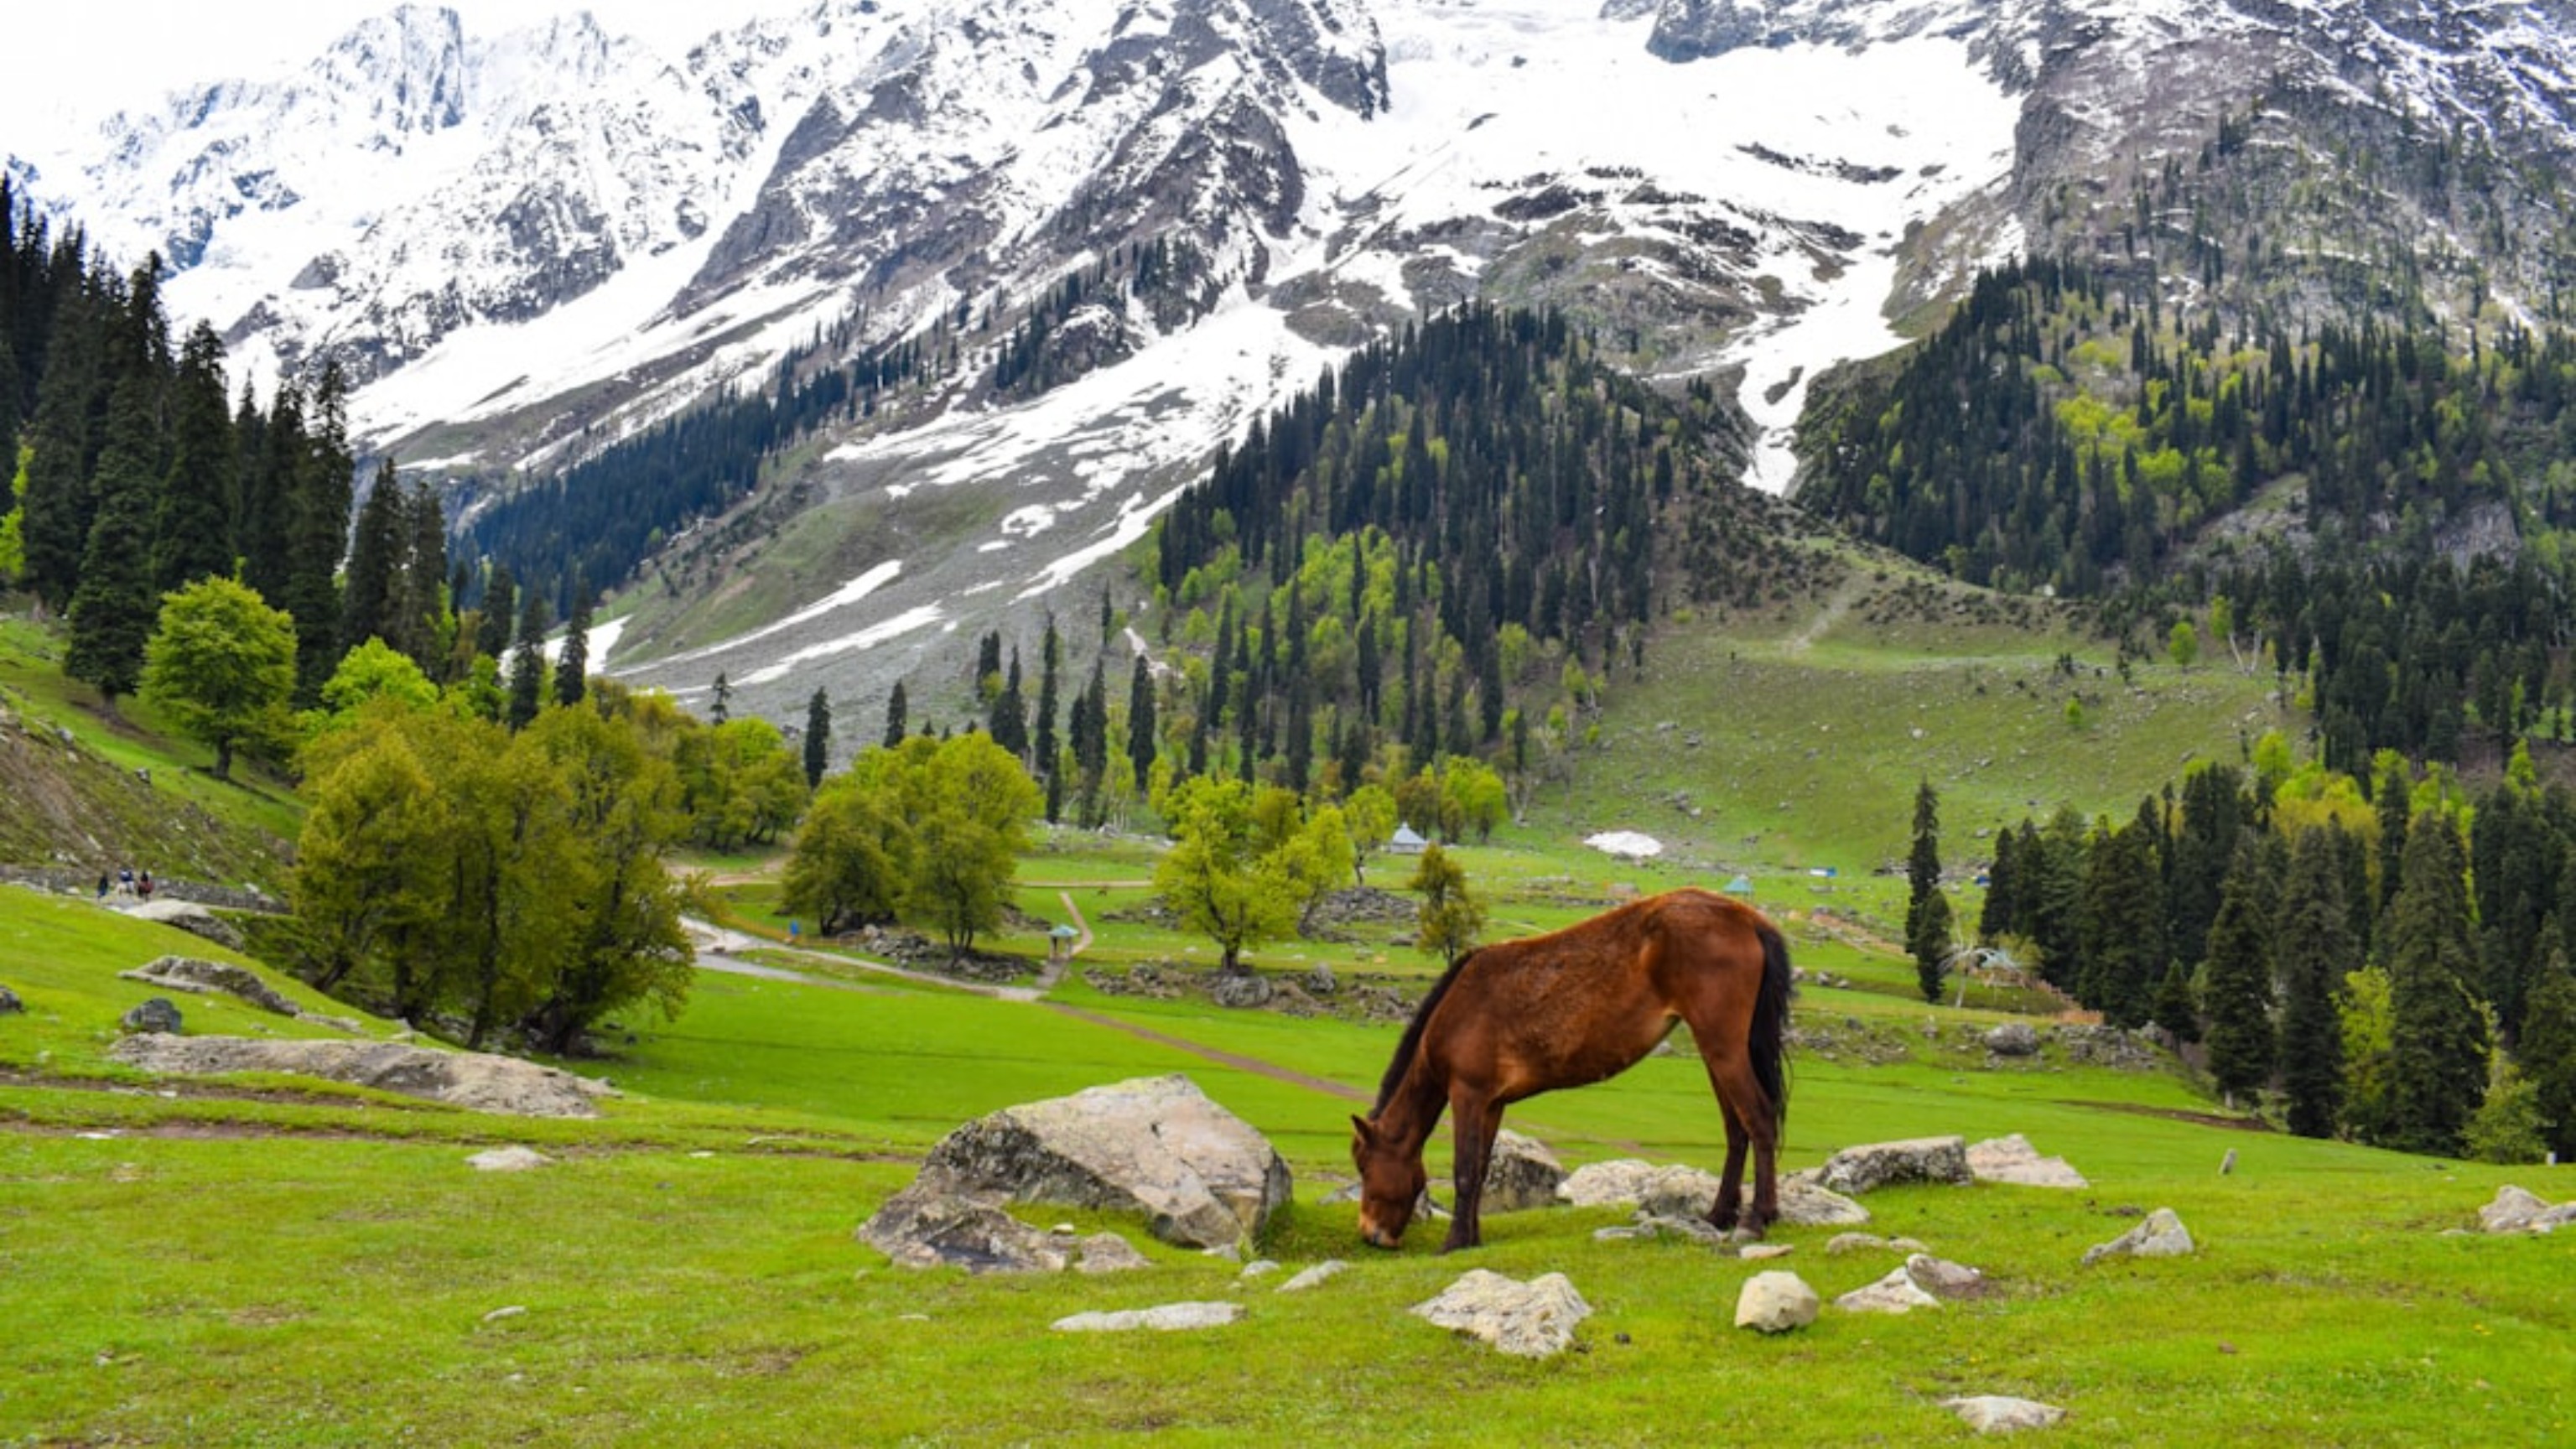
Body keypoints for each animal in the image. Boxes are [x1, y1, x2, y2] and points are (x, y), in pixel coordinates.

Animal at [1349, 886, 1793, 1248]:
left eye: (1365, 1166)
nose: (1371, 1234)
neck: (1458, 1009)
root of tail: (1748, 918)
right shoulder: (1492, 1104)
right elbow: (1480, 1169)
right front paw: (1472, 1238)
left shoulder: (1468, 1095)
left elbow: (1464, 1169)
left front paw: (1454, 1242)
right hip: (1716, 1052)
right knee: (1736, 1129)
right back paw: (1719, 1215)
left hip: (1723, 1047)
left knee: (1759, 1119)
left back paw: (1757, 1218)